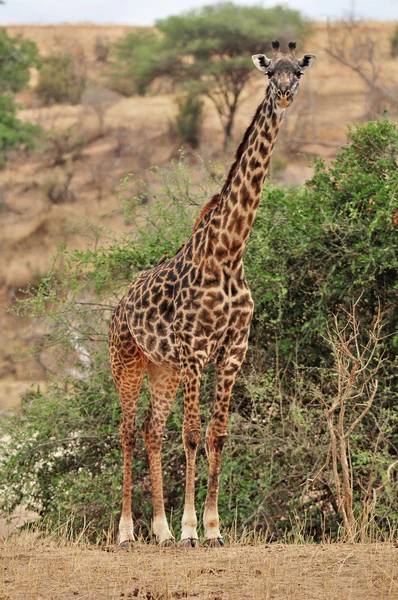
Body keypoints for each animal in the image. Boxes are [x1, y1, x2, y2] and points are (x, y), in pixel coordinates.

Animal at [108, 38, 314, 548]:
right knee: (127, 431)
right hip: (127, 362)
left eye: (298, 72)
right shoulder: (196, 350)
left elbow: (217, 435)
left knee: (151, 430)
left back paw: (159, 531)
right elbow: (193, 433)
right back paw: (128, 533)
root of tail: (118, 307)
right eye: (270, 73)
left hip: (162, 368)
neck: (229, 252)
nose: (284, 95)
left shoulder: (233, 350)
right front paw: (189, 530)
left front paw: (214, 528)